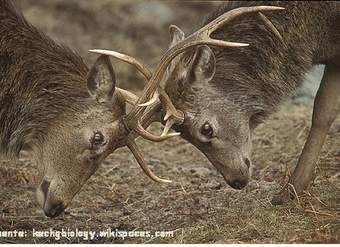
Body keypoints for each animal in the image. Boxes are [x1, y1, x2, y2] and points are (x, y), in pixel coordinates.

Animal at [93, 0, 340, 204]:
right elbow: (324, 111)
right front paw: (291, 191)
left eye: (206, 128)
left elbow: (322, 110)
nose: (237, 181)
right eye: (182, 135)